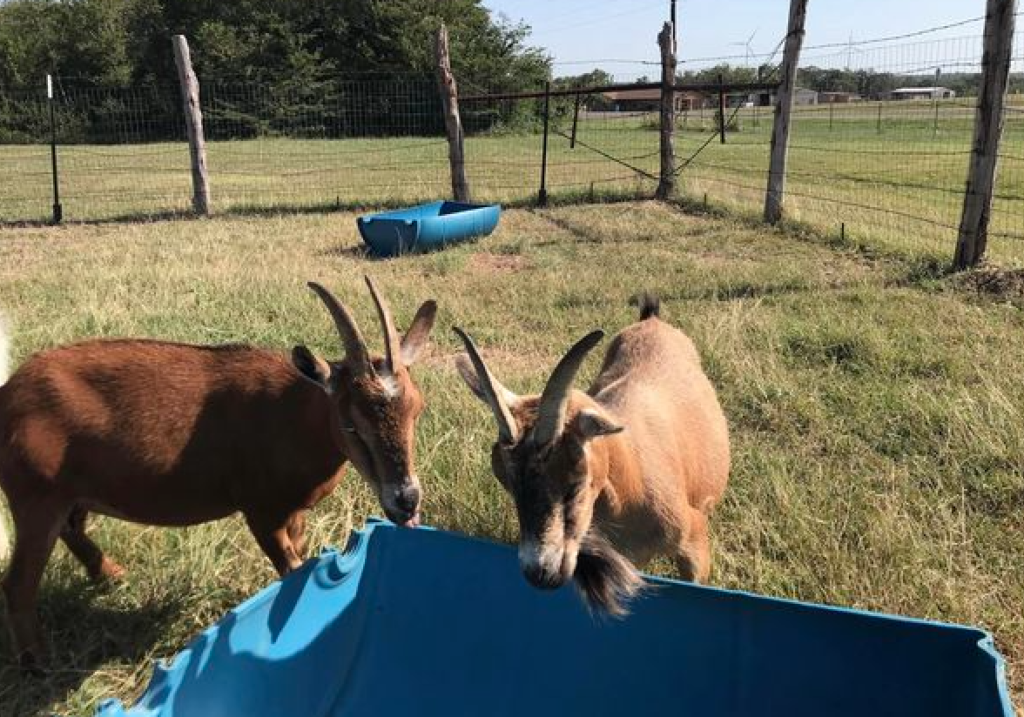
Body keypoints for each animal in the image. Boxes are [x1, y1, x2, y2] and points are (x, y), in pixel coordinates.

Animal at [0, 276, 436, 667]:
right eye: (351, 425)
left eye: (417, 408)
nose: (406, 501)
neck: (290, 413)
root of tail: (7, 394)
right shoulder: (261, 511)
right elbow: (290, 568)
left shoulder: (295, 511)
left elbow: (303, 559)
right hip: (36, 497)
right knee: (18, 582)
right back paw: (38, 662)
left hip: (66, 495)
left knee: (72, 529)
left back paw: (110, 575)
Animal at [454, 294, 729, 614]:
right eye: (508, 485)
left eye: (574, 484)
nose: (540, 573)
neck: (631, 479)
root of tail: (651, 320)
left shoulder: (694, 539)